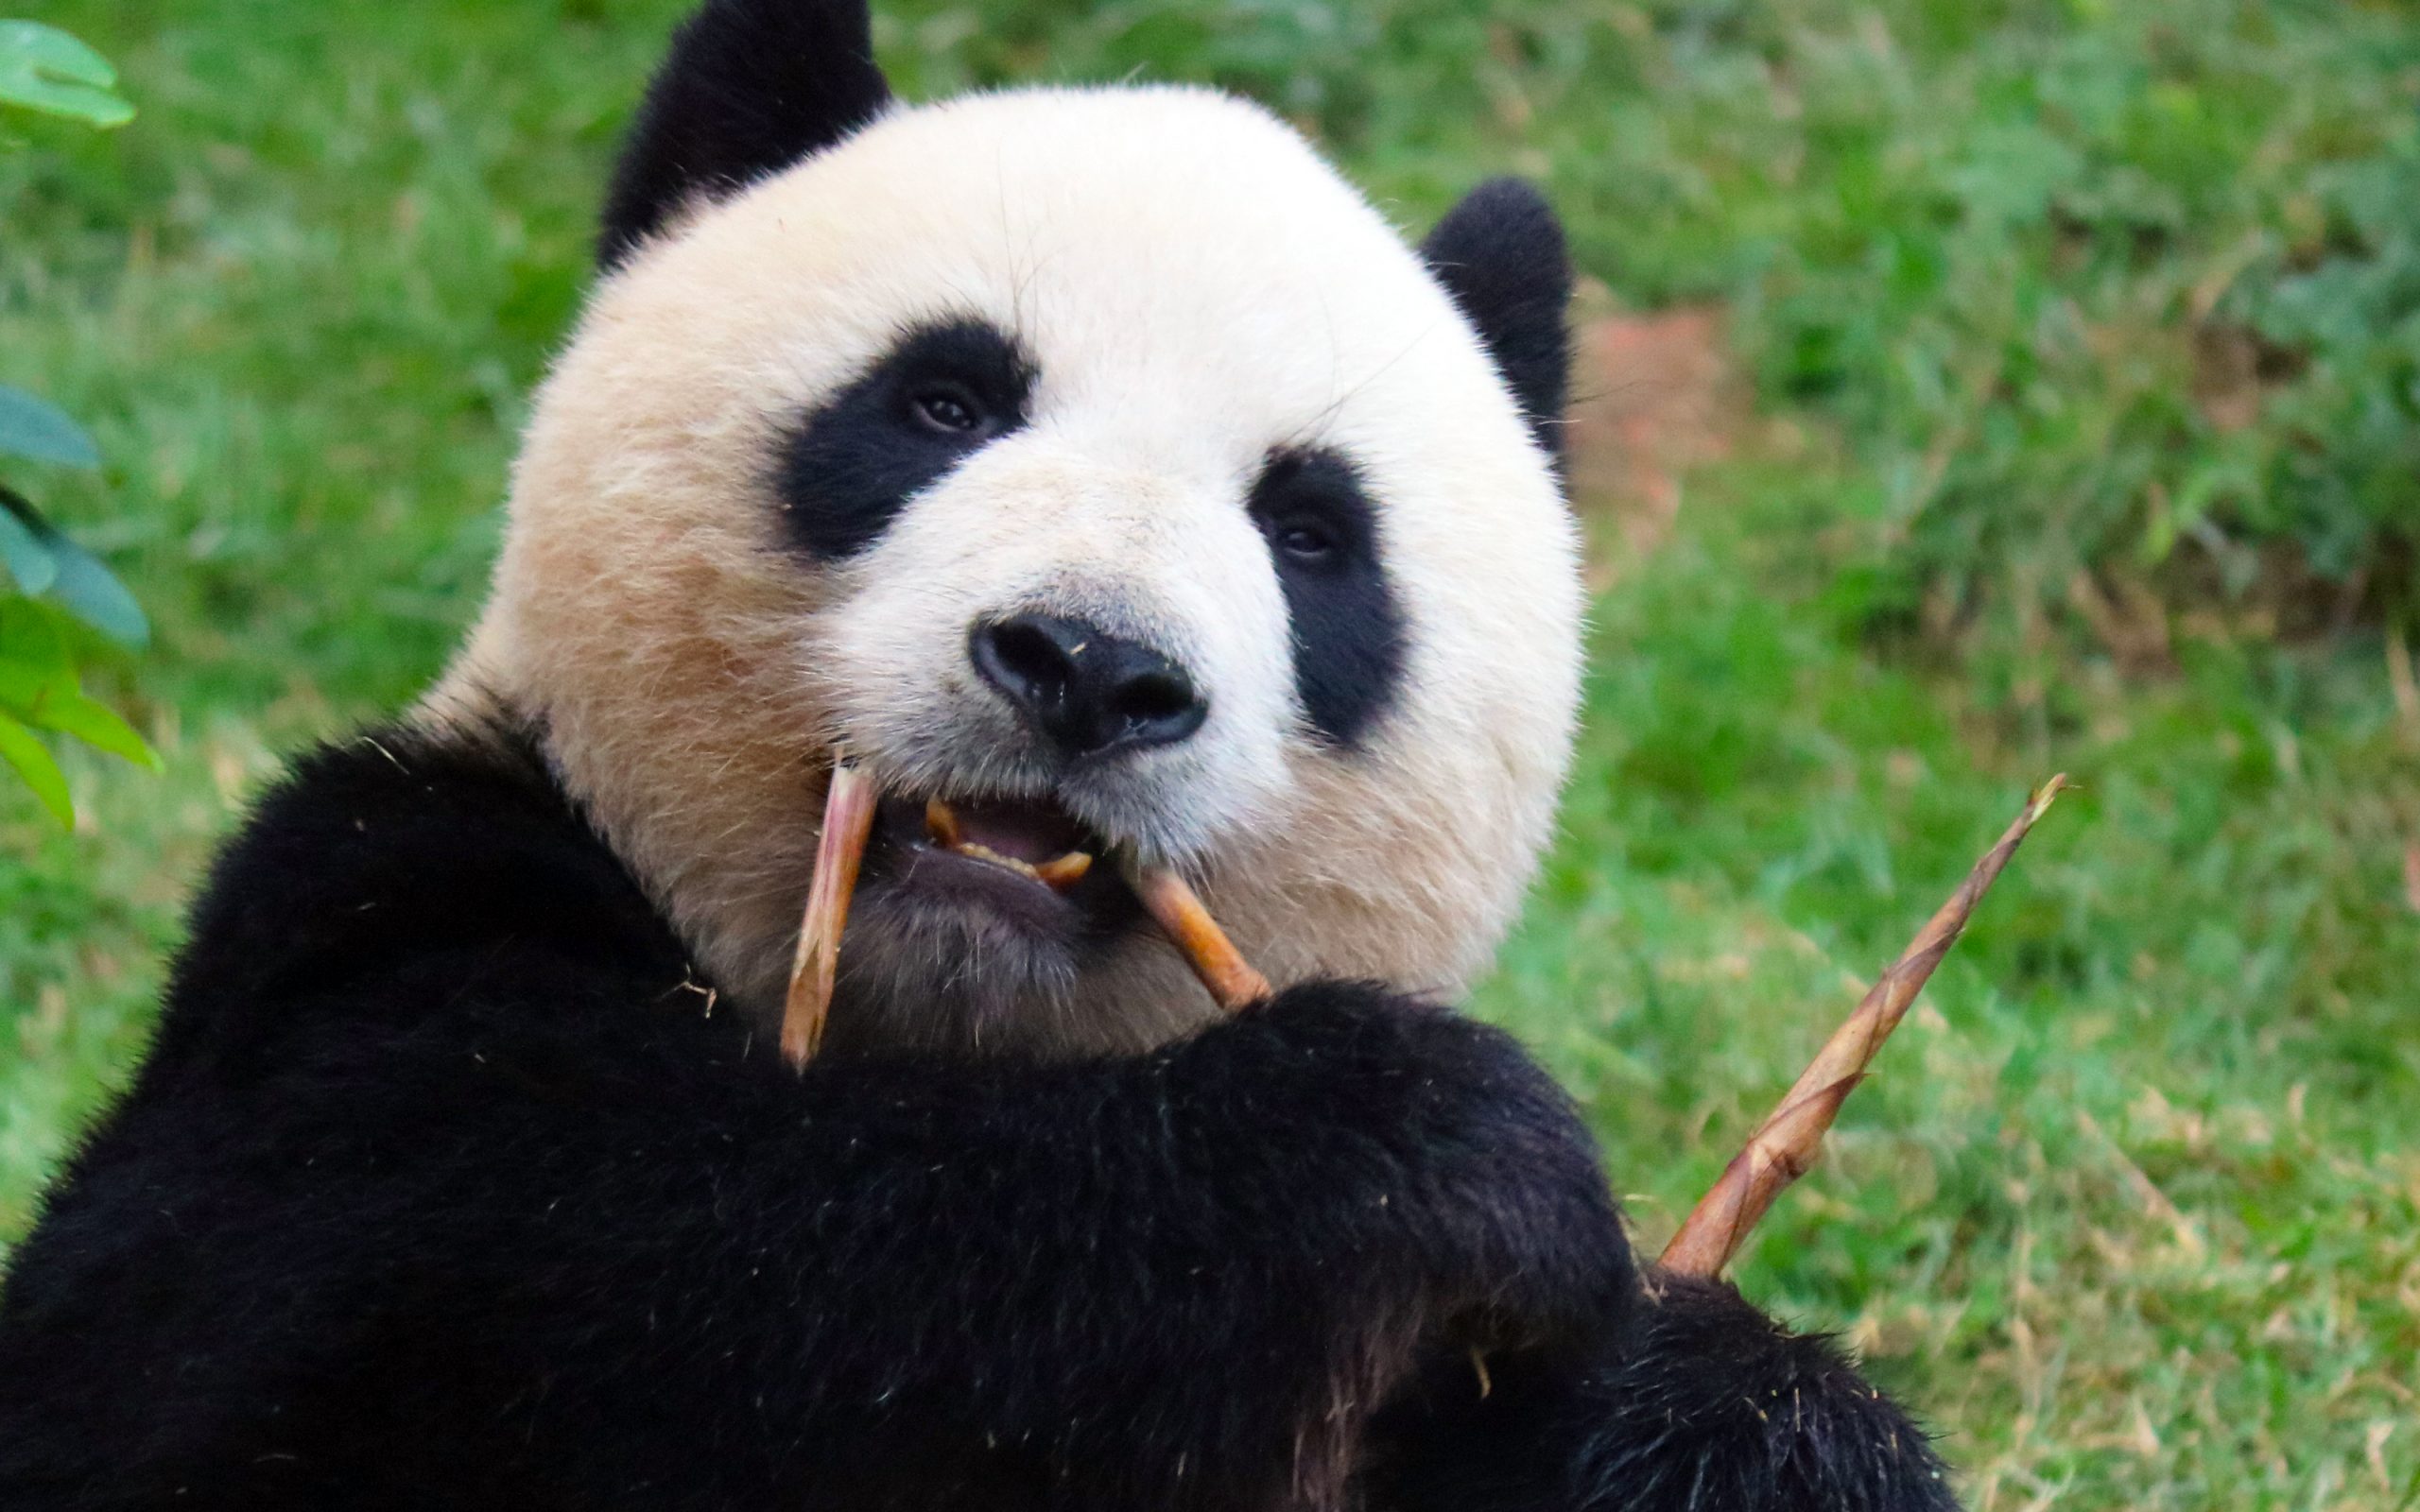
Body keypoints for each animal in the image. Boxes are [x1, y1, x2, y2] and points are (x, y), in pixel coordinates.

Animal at [0, 3, 1955, 1509]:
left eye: (1311, 532)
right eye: (942, 400)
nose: (1089, 667)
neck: (954, 1047)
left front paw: (1725, 1418)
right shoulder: (364, 919)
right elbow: (470, 1281)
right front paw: (1400, 1146)